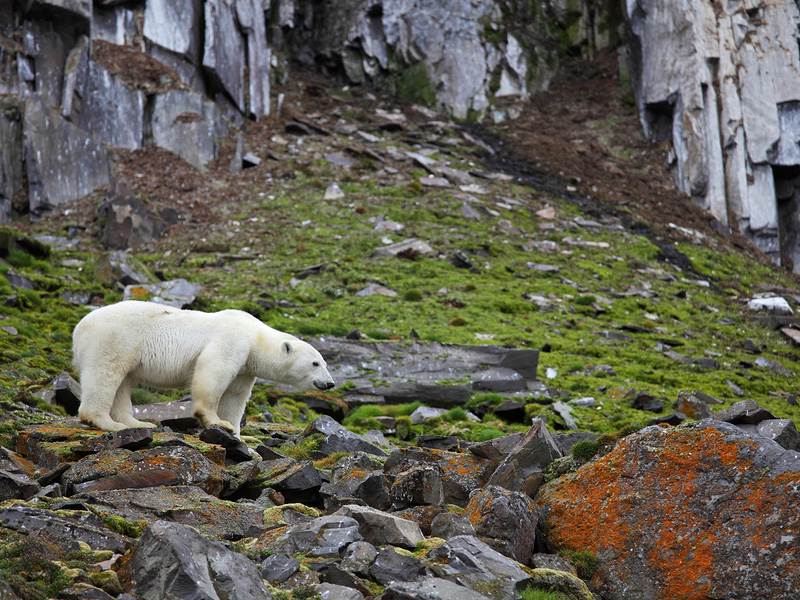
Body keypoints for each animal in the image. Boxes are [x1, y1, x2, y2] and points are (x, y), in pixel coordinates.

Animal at [73, 300, 336, 436]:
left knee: (124, 382)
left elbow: (235, 396)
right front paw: (216, 421)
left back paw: (138, 423)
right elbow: (214, 372)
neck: (256, 336)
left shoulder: (246, 368)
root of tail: (79, 327)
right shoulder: (233, 340)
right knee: (106, 373)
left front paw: (237, 435)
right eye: (315, 363)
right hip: (115, 338)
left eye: (325, 363)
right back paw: (107, 423)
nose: (330, 383)